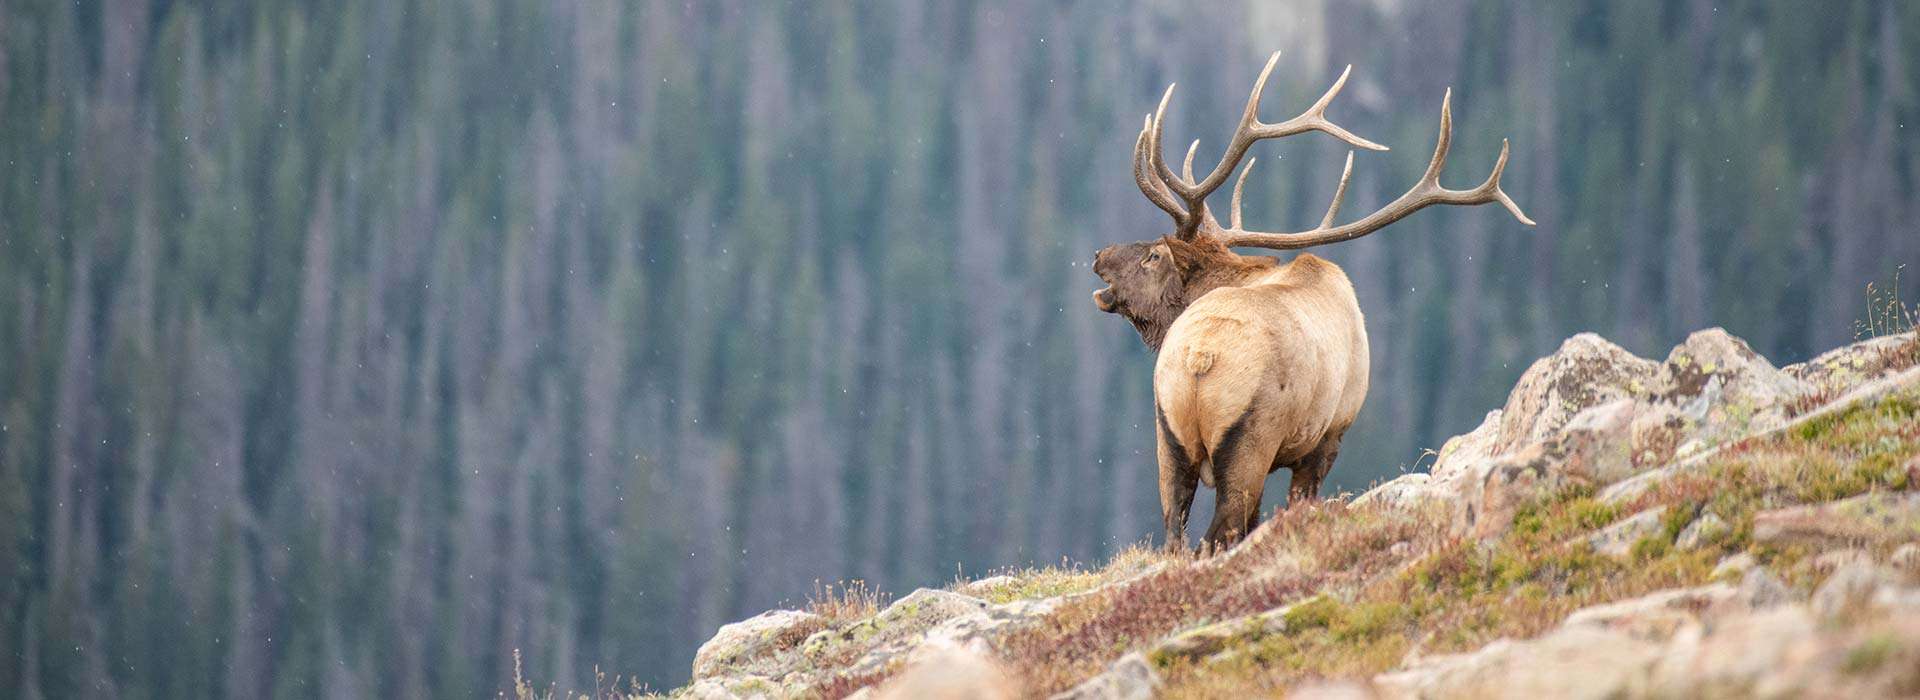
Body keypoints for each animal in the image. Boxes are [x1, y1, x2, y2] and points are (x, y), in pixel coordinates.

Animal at [1091, 52, 1533, 551]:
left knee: (1178, 534)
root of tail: (1198, 356)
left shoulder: (1323, 437)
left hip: (1172, 435)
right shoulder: (1329, 436)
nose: (1099, 256)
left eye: (1152, 255)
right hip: (1247, 442)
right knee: (1221, 531)